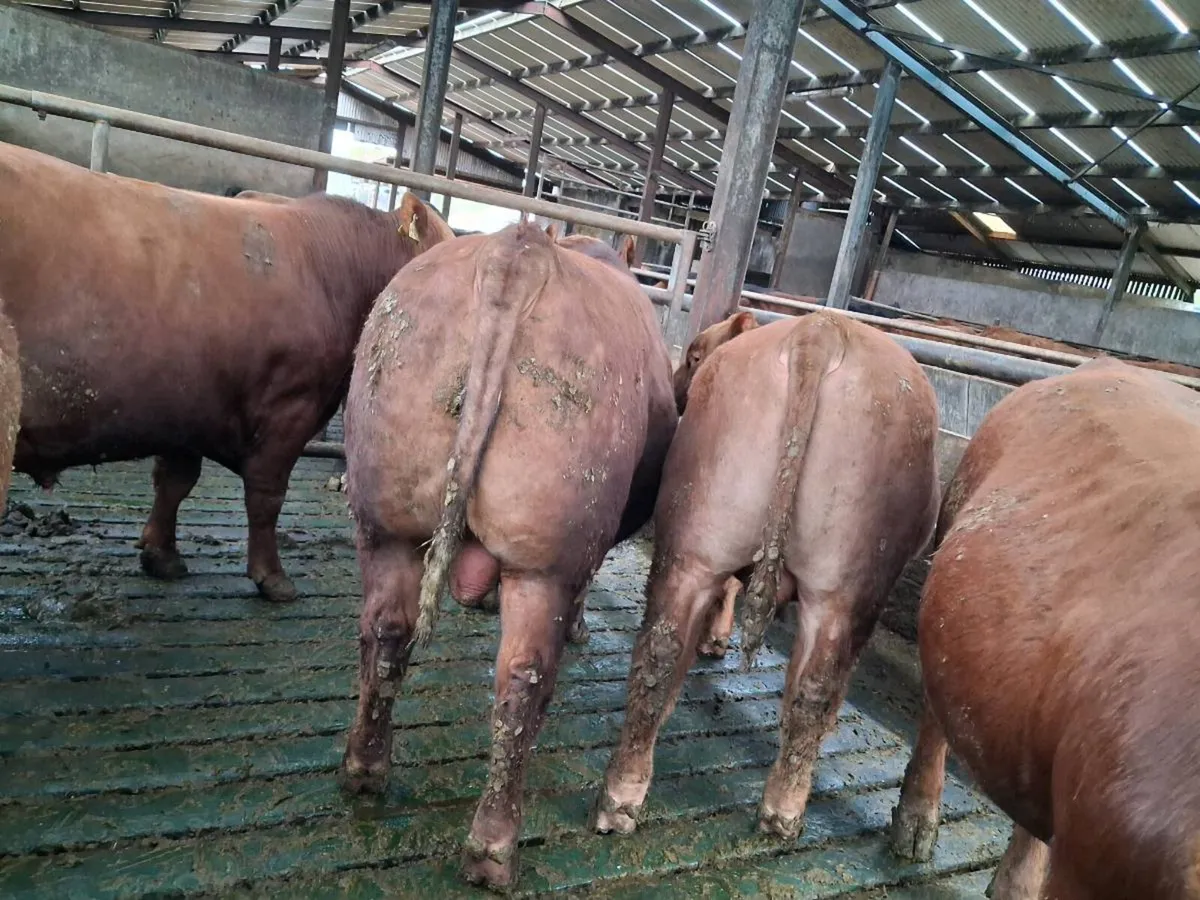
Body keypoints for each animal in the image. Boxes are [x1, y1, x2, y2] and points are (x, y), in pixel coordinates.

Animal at [0, 142, 453, 602]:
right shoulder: (290, 404)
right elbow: (267, 494)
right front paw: (272, 576)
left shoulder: (185, 404)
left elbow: (175, 480)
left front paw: (161, 554)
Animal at [337, 219, 677, 889]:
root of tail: (518, 252)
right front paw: (578, 628)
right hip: (545, 561)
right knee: (522, 676)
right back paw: (493, 848)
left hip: (384, 518)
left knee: (386, 631)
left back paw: (365, 768)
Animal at [592, 309, 940, 842]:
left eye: (694, 354)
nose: (676, 387)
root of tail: (820, 330)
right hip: (848, 587)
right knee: (816, 686)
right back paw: (784, 810)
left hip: (701, 540)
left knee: (664, 653)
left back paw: (625, 798)